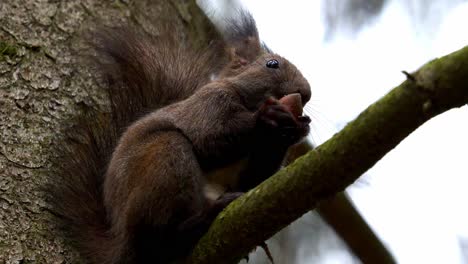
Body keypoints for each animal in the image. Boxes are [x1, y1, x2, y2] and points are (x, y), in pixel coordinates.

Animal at [46, 10, 310, 264]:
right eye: (272, 64)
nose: (306, 93)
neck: (245, 99)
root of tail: (120, 240)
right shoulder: (209, 104)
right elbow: (209, 139)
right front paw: (268, 117)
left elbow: (252, 182)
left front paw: (296, 129)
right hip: (165, 158)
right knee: (157, 240)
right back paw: (199, 221)